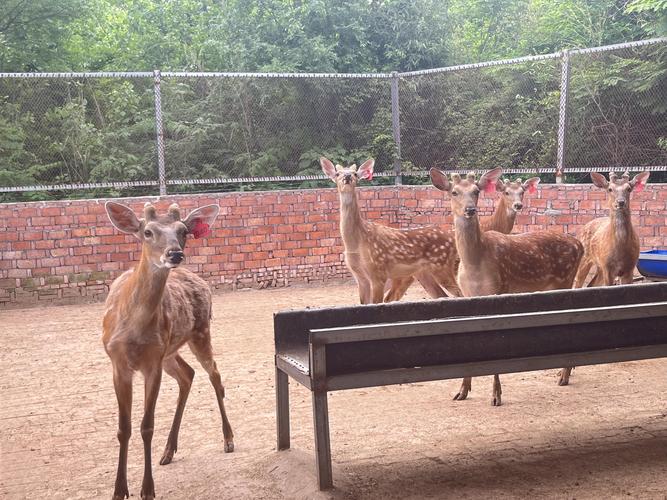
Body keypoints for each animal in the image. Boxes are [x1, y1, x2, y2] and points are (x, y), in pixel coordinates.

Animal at [103, 201, 234, 500]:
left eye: (183, 230)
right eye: (147, 232)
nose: (174, 253)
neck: (134, 329)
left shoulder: (152, 363)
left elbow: (146, 425)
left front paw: (147, 490)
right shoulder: (118, 363)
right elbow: (123, 428)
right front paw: (119, 490)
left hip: (199, 332)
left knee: (214, 375)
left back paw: (228, 438)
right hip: (170, 351)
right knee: (188, 374)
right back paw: (168, 450)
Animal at [321, 156, 460, 303]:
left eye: (355, 174)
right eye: (337, 174)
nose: (347, 176)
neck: (356, 242)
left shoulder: (378, 272)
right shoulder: (360, 278)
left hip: (442, 266)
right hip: (423, 273)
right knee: (443, 295)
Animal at [430, 167, 584, 405]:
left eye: (476, 191)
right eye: (454, 192)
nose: (470, 209)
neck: (475, 264)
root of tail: (580, 244)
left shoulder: (498, 289)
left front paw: (496, 395)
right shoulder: (467, 295)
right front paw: (462, 391)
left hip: (566, 280)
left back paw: (564, 376)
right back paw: (563, 372)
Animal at [558, 169, 650, 385]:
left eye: (629, 188)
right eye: (610, 188)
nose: (620, 202)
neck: (620, 249)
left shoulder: (629, 269)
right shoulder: (608, 268)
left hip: (598, 270)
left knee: (590, 286)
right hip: (586, 263)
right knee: (579, 286)